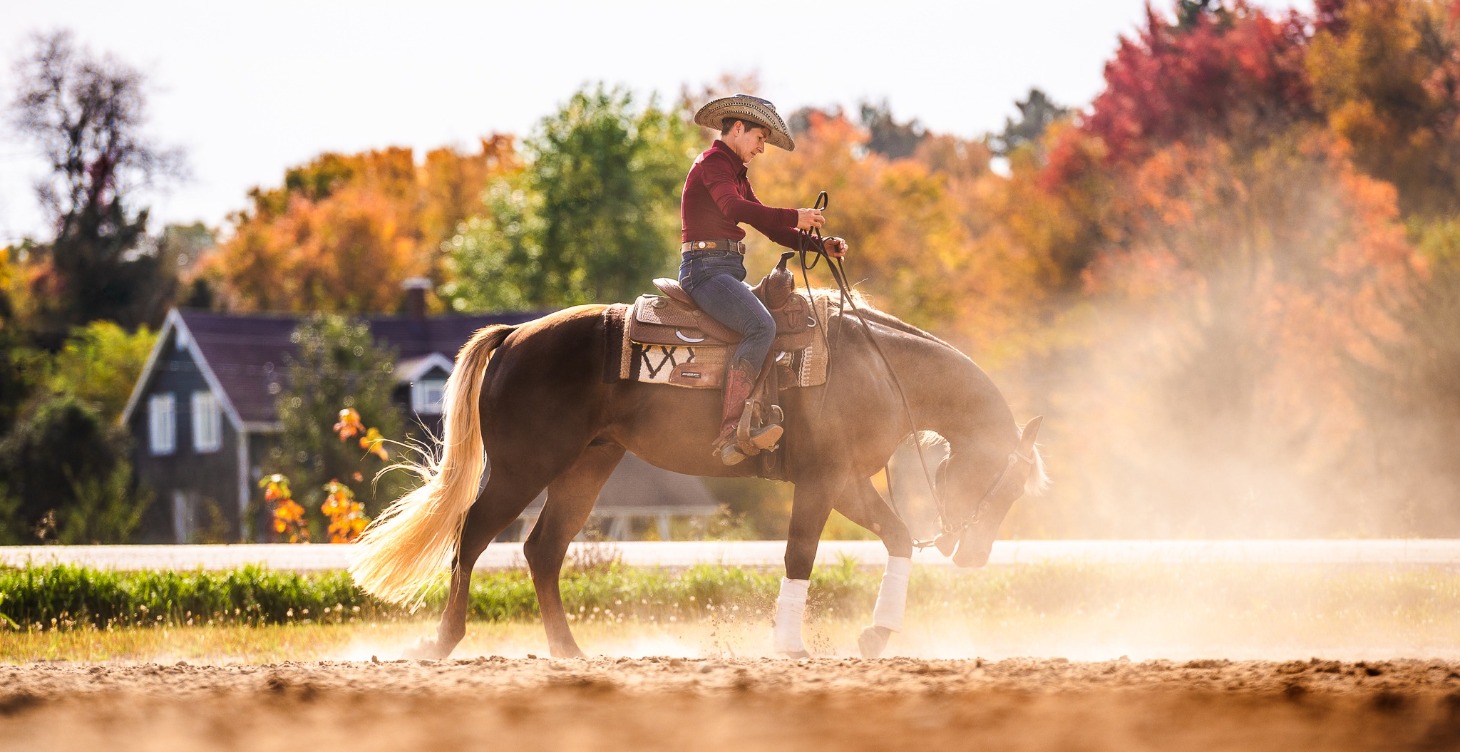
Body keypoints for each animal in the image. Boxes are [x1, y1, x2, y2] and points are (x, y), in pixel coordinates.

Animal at [347, 294, 1045, 660]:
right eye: (1003, 481)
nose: (973, 556)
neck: (878, 369)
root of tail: (516, 334)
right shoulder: (824, 482)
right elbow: (800, 554)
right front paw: (789, 644)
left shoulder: (851, 482)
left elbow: (898, 537)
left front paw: (876, 634)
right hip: (524, 467)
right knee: (471, 537)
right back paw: (443, 643)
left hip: (586, 466)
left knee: (543, 549)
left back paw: (569, 651)